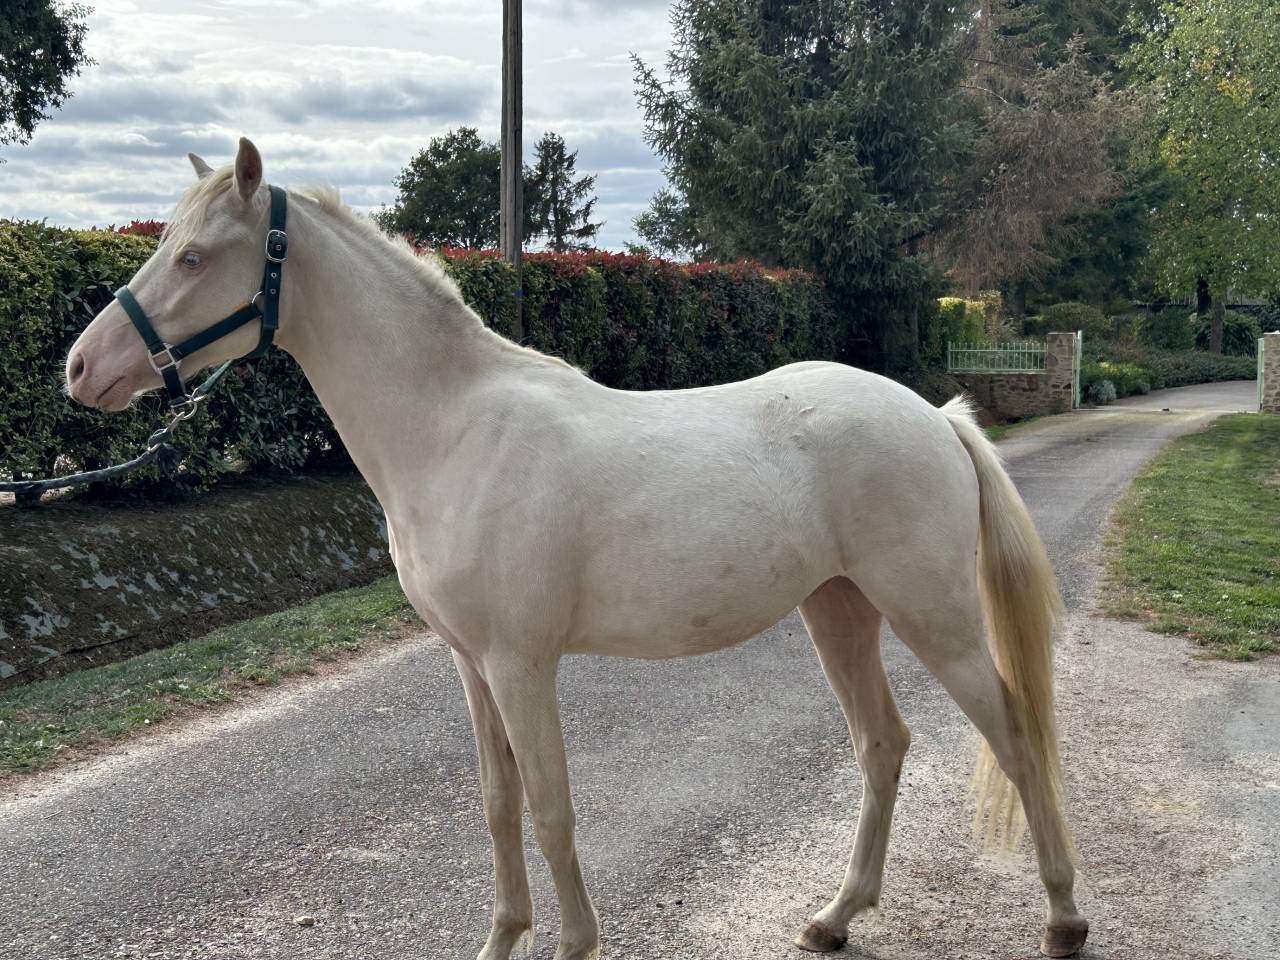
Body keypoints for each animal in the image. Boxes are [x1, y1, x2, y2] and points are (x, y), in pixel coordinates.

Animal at [64, 139, 1088, 960]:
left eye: (194, 256)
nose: (81, 369)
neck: (453, 427)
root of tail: (938, 416)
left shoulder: (522, 664)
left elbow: (553, 812)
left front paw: (571, 944)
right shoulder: (471, 665)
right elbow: (499, 807)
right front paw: (501, 939)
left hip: (932, 615)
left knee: (1015, 734)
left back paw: (1063, 918)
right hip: (838, 610)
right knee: (883, 744)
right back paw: (834, 918)